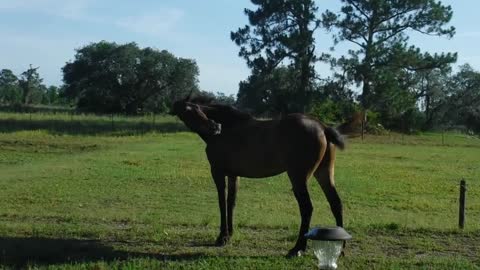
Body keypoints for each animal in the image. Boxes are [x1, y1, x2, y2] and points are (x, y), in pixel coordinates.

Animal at [171, 95, 344, 258]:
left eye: (197, 108)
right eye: (188, 110)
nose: (215, 127)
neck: (228, 129)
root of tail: (322, 126)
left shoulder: (217, 172)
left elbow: (221, 202)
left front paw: (221, 237)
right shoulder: (233, 175)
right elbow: (231, 202)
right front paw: (229, 235)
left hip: (298, 178)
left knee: (307, 208)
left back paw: (297, 249)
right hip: (324, 173)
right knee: (335, 203)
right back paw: (341, 248)